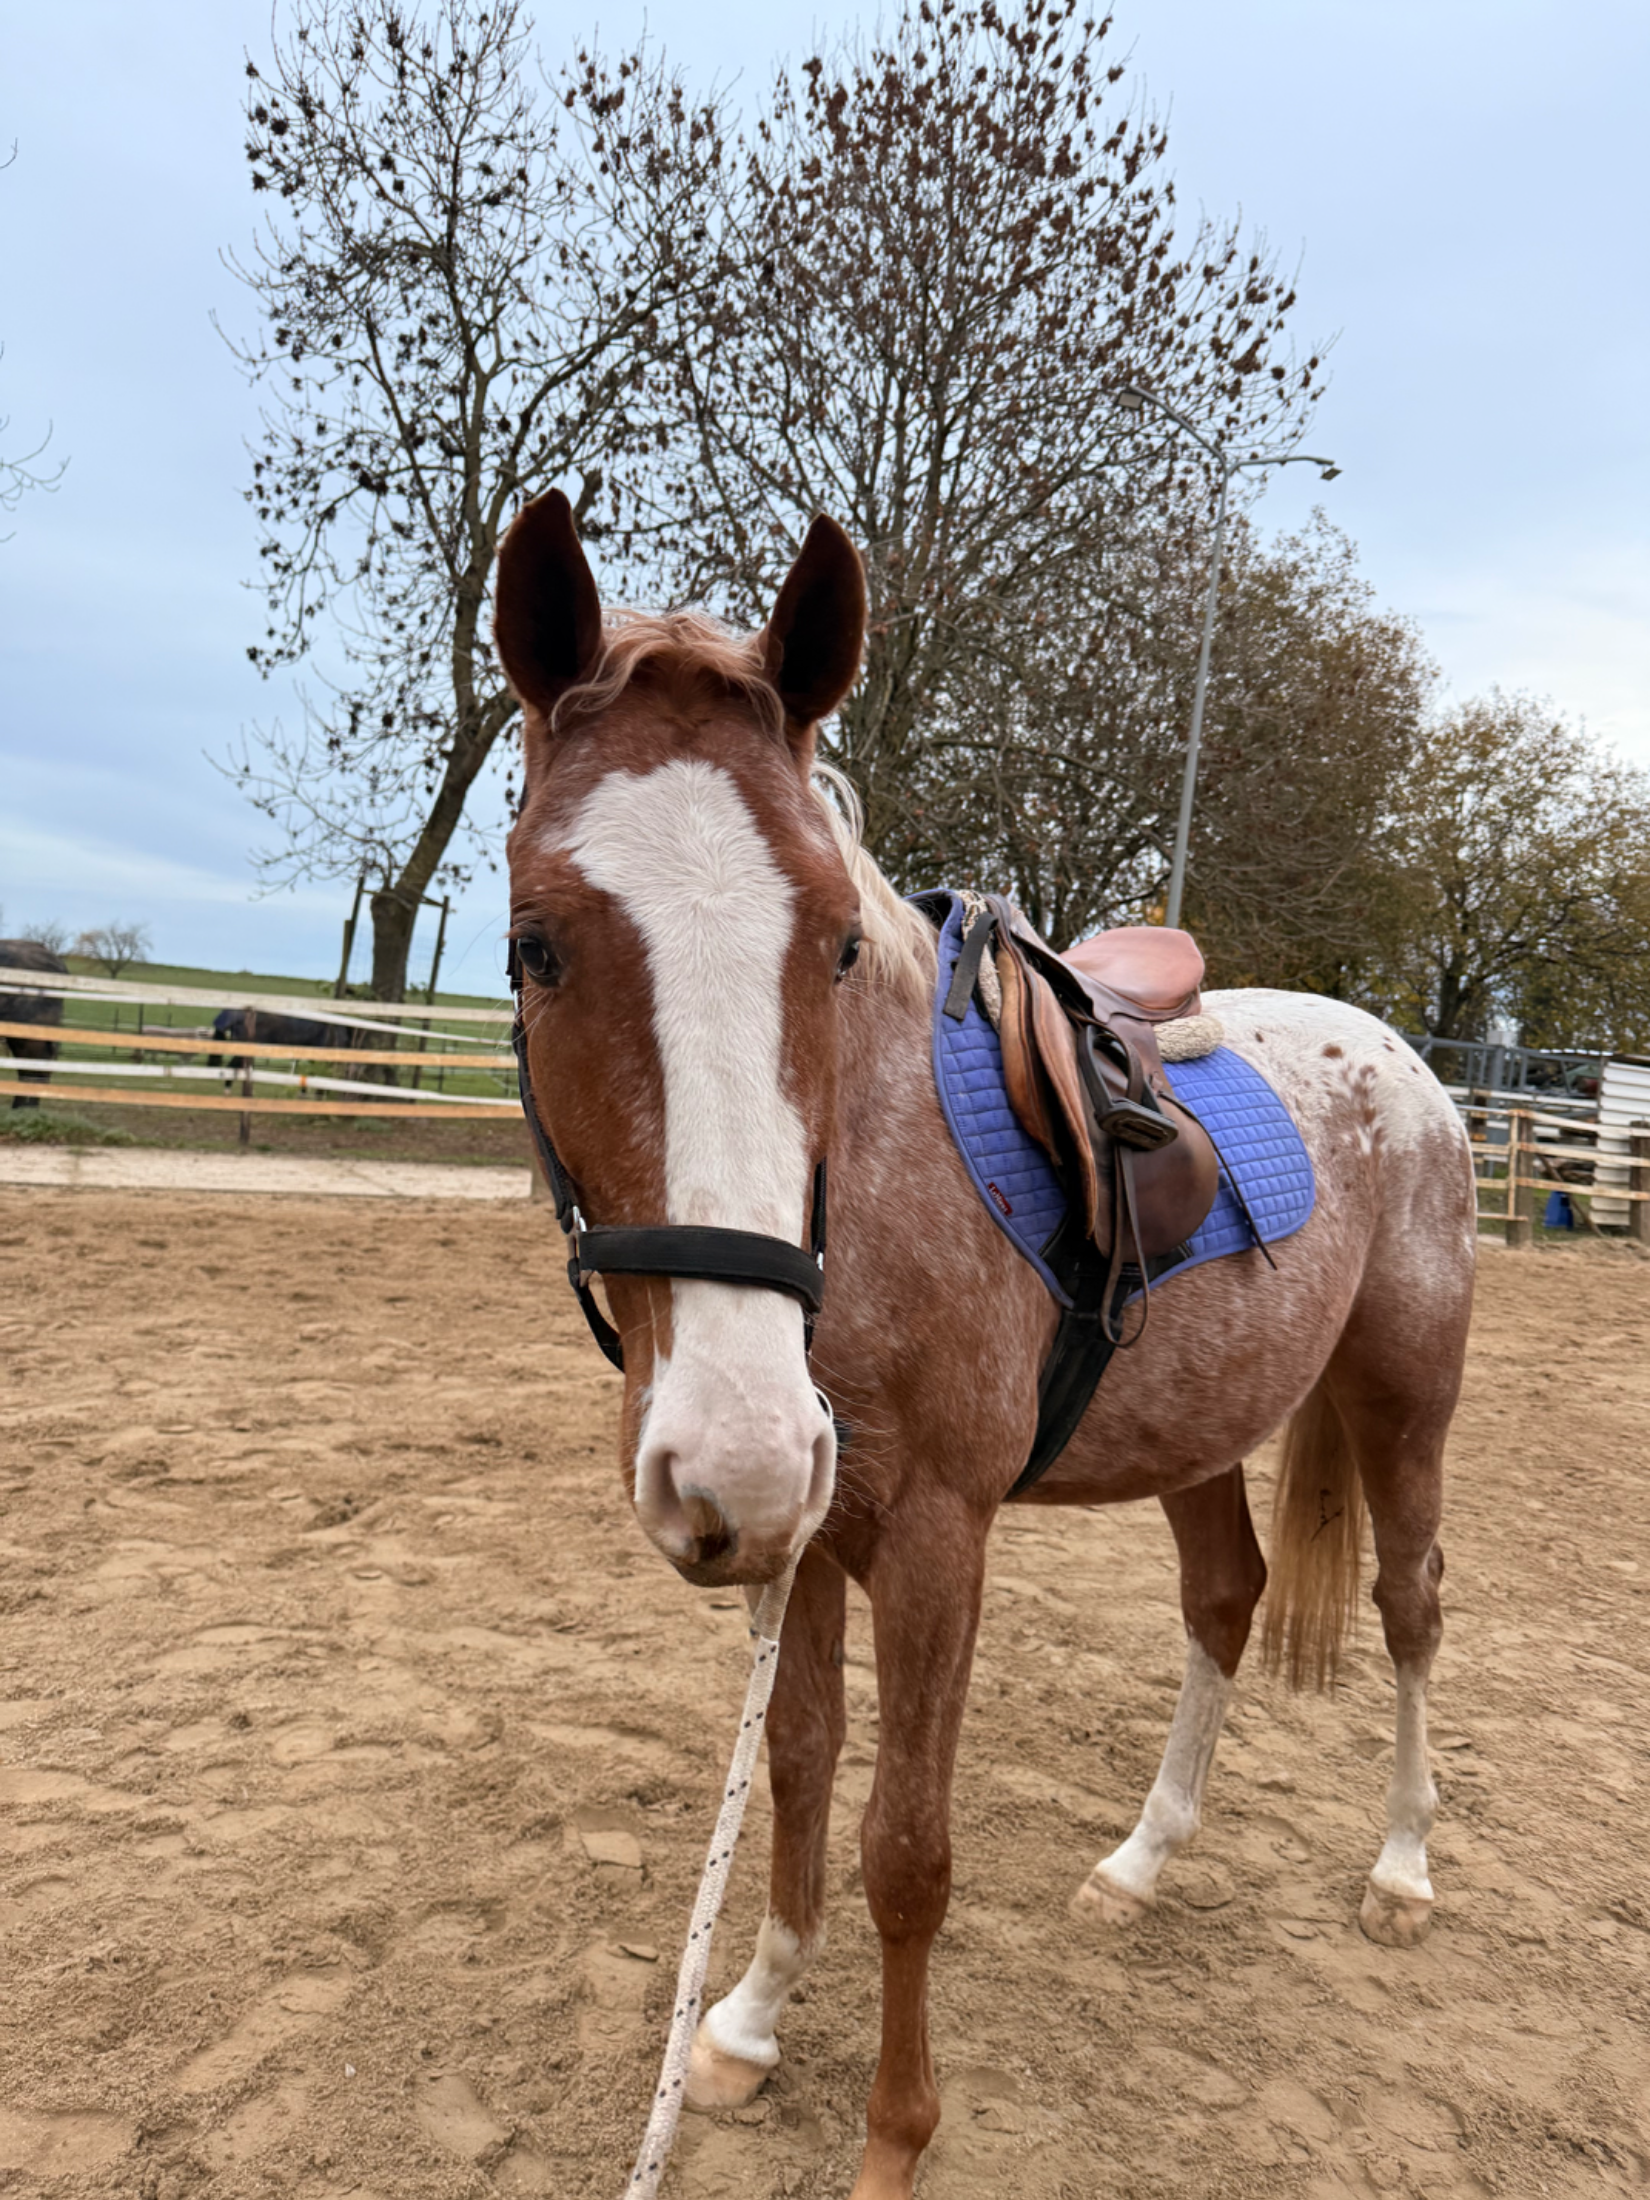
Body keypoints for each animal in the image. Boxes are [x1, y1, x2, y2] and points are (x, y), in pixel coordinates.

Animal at [496, 491, 1476, 2200]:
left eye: (833, 944)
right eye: (536, 946)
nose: (732, 1446)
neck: (865, 1181)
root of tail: (1394, 1061)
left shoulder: (936, 1537)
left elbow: (904, 1846)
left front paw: (896, 2136)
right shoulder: (809, 1530)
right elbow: (800, 1769)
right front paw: (747, 2021)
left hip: (1403, 1398)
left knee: (1408, 1607)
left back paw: (1403, 1870)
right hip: (1198, 1427)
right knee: (1223, 1601)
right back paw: (1142, 1862)